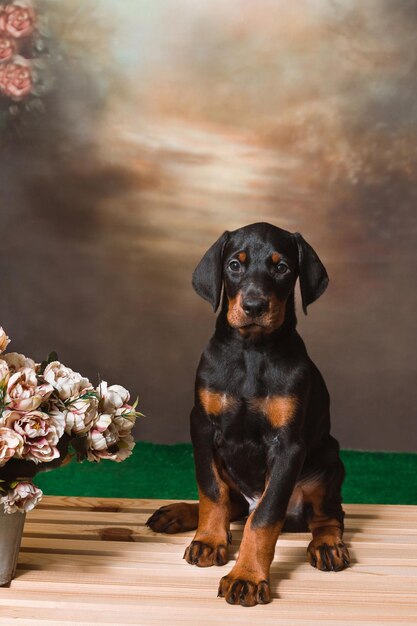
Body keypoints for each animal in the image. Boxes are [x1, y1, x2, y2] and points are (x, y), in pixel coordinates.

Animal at [146, 223, 348, 604]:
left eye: (281, 267)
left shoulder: (288, 445)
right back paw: (179, 513)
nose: (254, 306)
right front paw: (208, 540)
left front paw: (247, 577)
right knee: (233, 503)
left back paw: (328, 545)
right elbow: (211, 491)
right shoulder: (201, 425)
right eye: (234, 266)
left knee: (327, 517)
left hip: (328, 461)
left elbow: (266, 518)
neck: (251, 351)